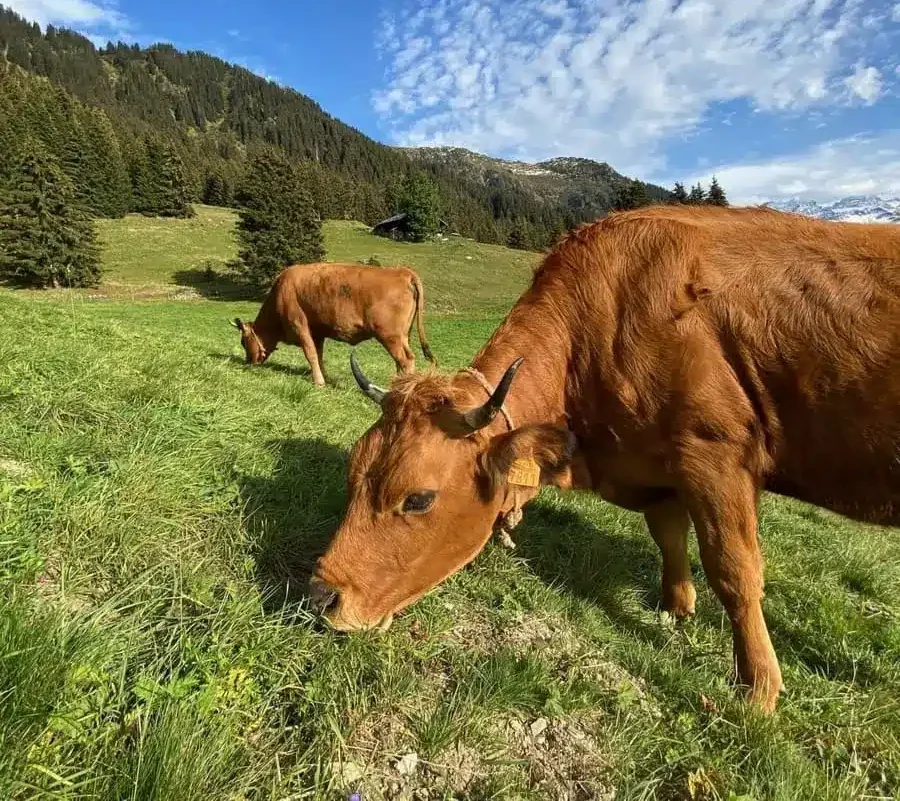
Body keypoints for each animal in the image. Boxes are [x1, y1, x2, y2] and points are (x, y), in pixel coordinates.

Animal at [231, 262, 435, 385]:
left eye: (243, 342)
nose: (248, 362)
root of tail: (402, 272)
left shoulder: (299, 325)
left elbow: (310, 353)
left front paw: (319, 382)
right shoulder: (317, 332)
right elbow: (319, 355)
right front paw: (325, 377)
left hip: (389, 336)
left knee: (406, 360)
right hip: (402, 336)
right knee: (401, 361)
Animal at [309, 204, 900, 714]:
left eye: (418, 498)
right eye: (353, 472)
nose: (322, 598)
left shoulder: (715, 455)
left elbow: (735, 571)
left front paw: (757, 690)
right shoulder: (657, 466)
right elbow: (668, 535)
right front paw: (675, 608)